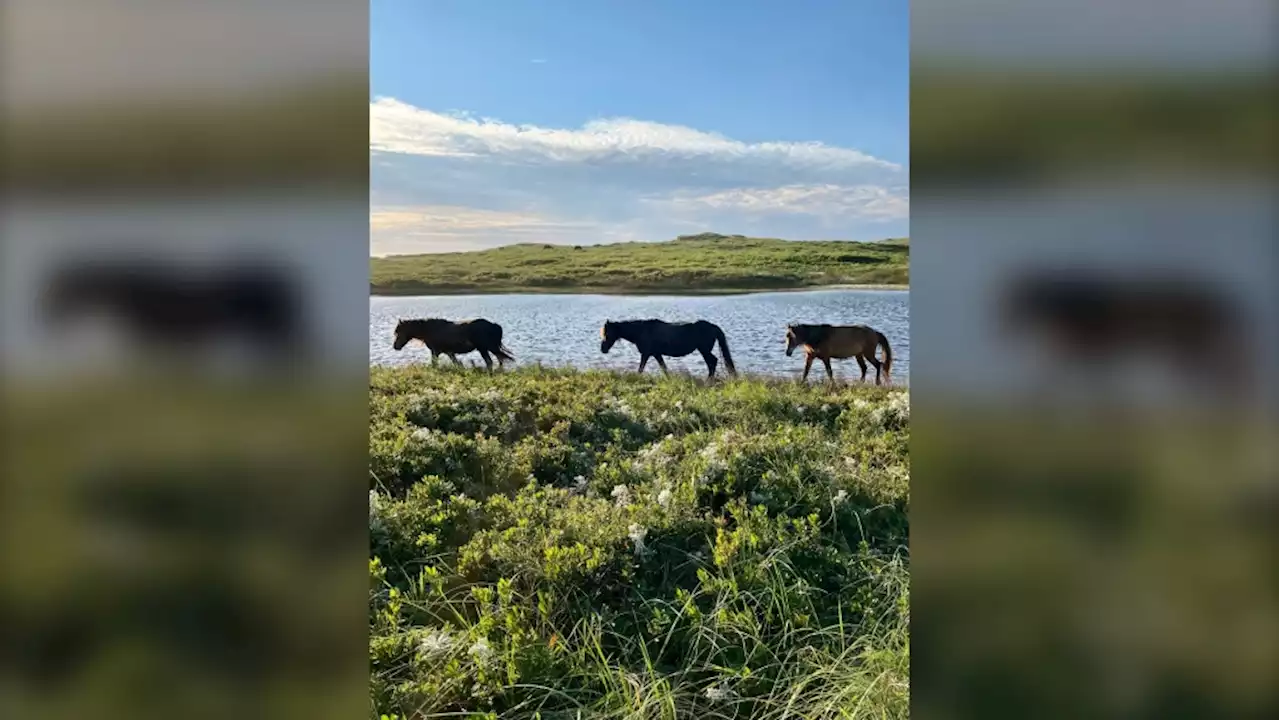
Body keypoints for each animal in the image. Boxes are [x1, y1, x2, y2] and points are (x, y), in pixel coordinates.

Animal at [601, 317, 737, 379]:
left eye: (607, 334)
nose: (603, 349)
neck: (642, 331)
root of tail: (712, 326)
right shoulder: (656, 354)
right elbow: (664, 368)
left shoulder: (646, 353)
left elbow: (641, 368)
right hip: (704, 350)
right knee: (711, 363)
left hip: (704, 350)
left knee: (712, 362)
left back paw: (709, 380)